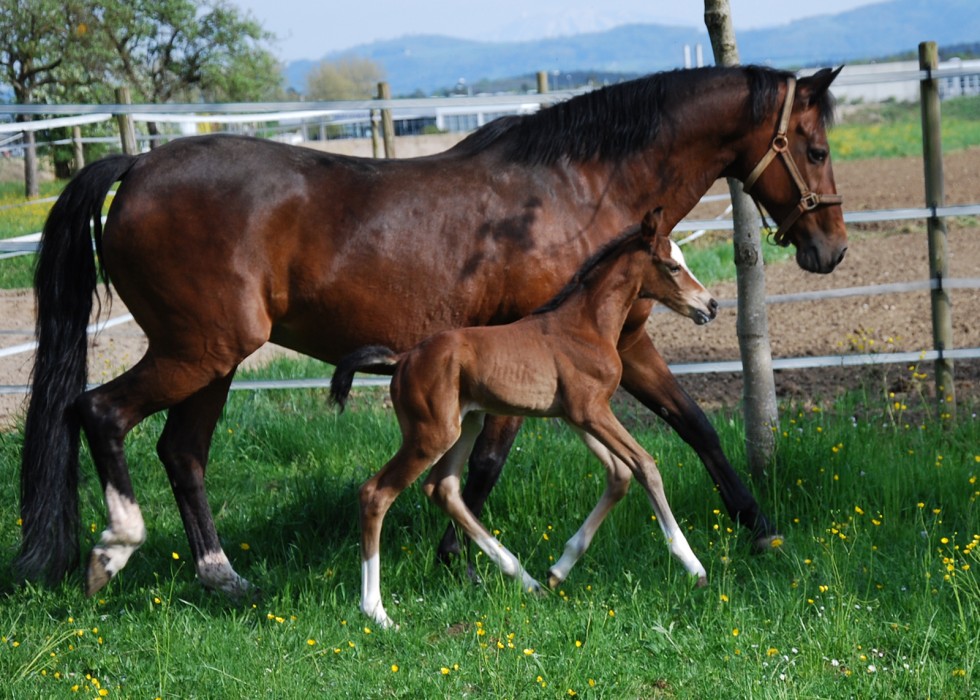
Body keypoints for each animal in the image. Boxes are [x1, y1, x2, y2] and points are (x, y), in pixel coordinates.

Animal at [334, 209, 716, 628]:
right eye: (672, 266)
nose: (711, 305)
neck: (586, 325)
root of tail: (402, 360)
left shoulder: (577, 415)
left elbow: (619, 475)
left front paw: (558, 570)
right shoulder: (592, 411)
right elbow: (645, 466)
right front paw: (694, 567)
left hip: (464, 425)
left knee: (443, 488)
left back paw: (526, 579)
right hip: (430, 434)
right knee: (376, 493)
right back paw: (376, 611)